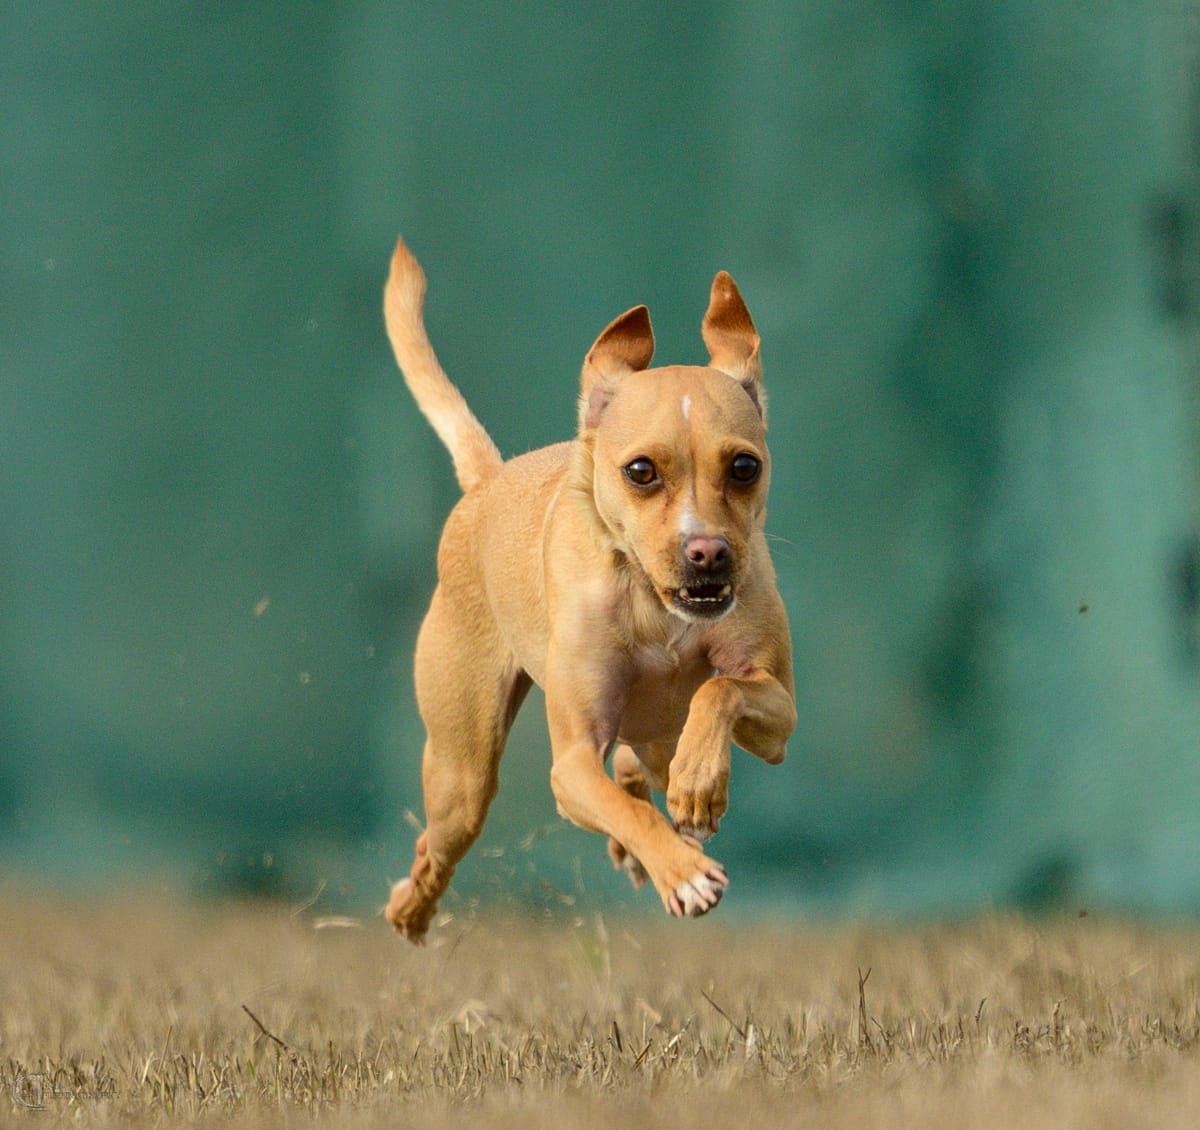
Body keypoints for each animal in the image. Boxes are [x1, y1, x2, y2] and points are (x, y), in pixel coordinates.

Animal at [384, 238, 796, 945]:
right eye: (641, 471)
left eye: (745, 467)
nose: (708, 552)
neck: (659, 611)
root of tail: (488, 482)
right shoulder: (573, 761)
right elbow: (620, 805)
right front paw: (681, 872)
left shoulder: (778, 717)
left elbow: (719, 689)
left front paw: (698, 786)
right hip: (461, 772)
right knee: (436, 843)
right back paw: (410, 909)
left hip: (646, 740)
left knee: (643, 762)